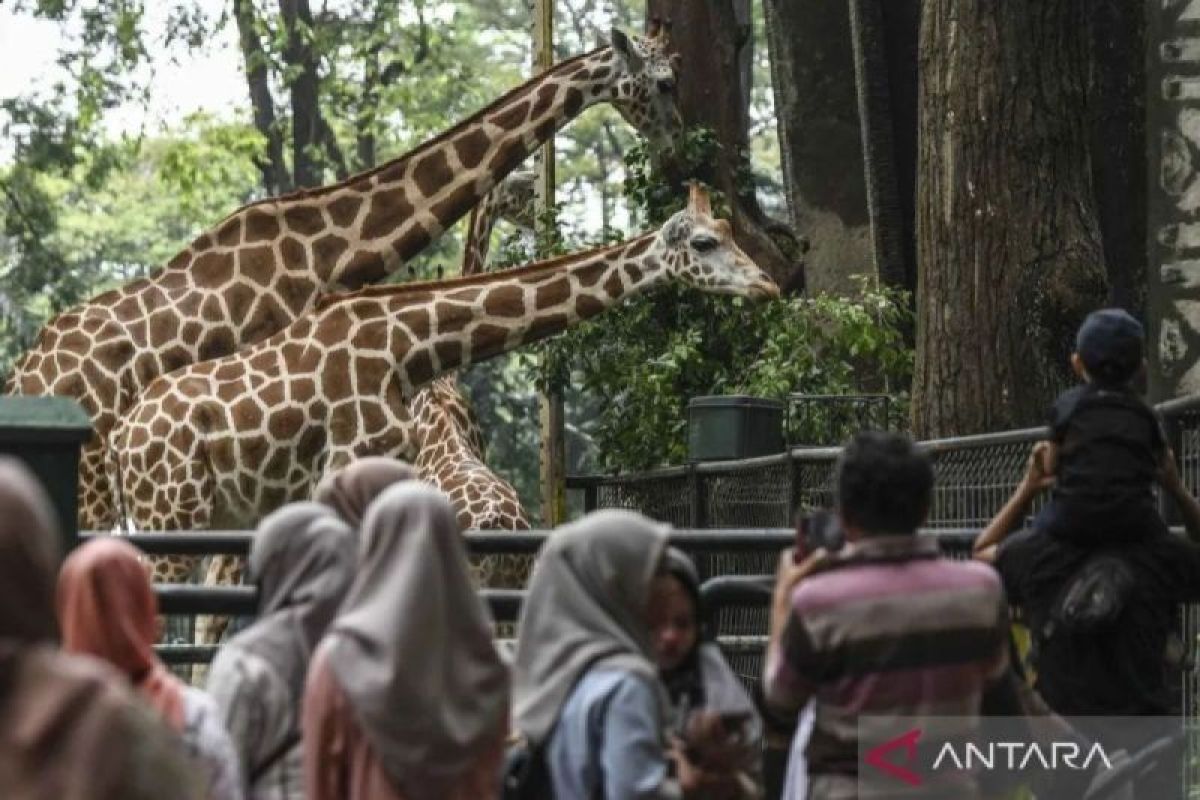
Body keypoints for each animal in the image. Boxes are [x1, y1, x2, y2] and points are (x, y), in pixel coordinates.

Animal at [108, 184, 772, 554]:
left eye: (728, 230)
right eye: (706, 244)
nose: (767, 283)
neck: (408, 350)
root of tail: (122, 439)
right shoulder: (345, 470)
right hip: (173, 515)